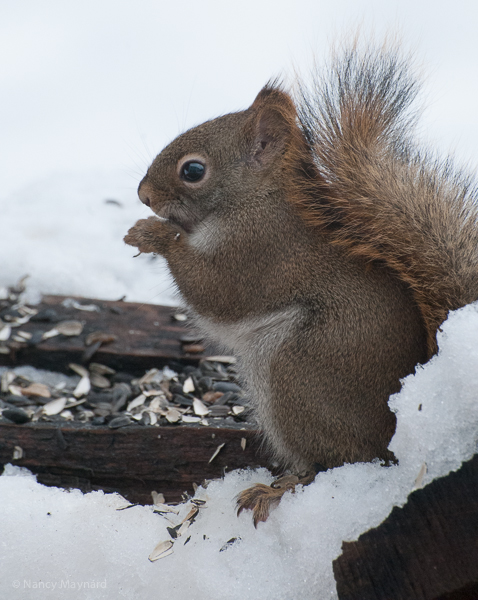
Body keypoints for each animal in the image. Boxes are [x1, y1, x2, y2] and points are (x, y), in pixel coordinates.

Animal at [125, 44, 478, 524]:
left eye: (193, 170)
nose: (143, 195)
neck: (252, 201)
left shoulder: (258, 252)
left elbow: (216, 291)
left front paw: (154, 234)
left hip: (299, 373)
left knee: (339, 461)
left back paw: (279, 489)